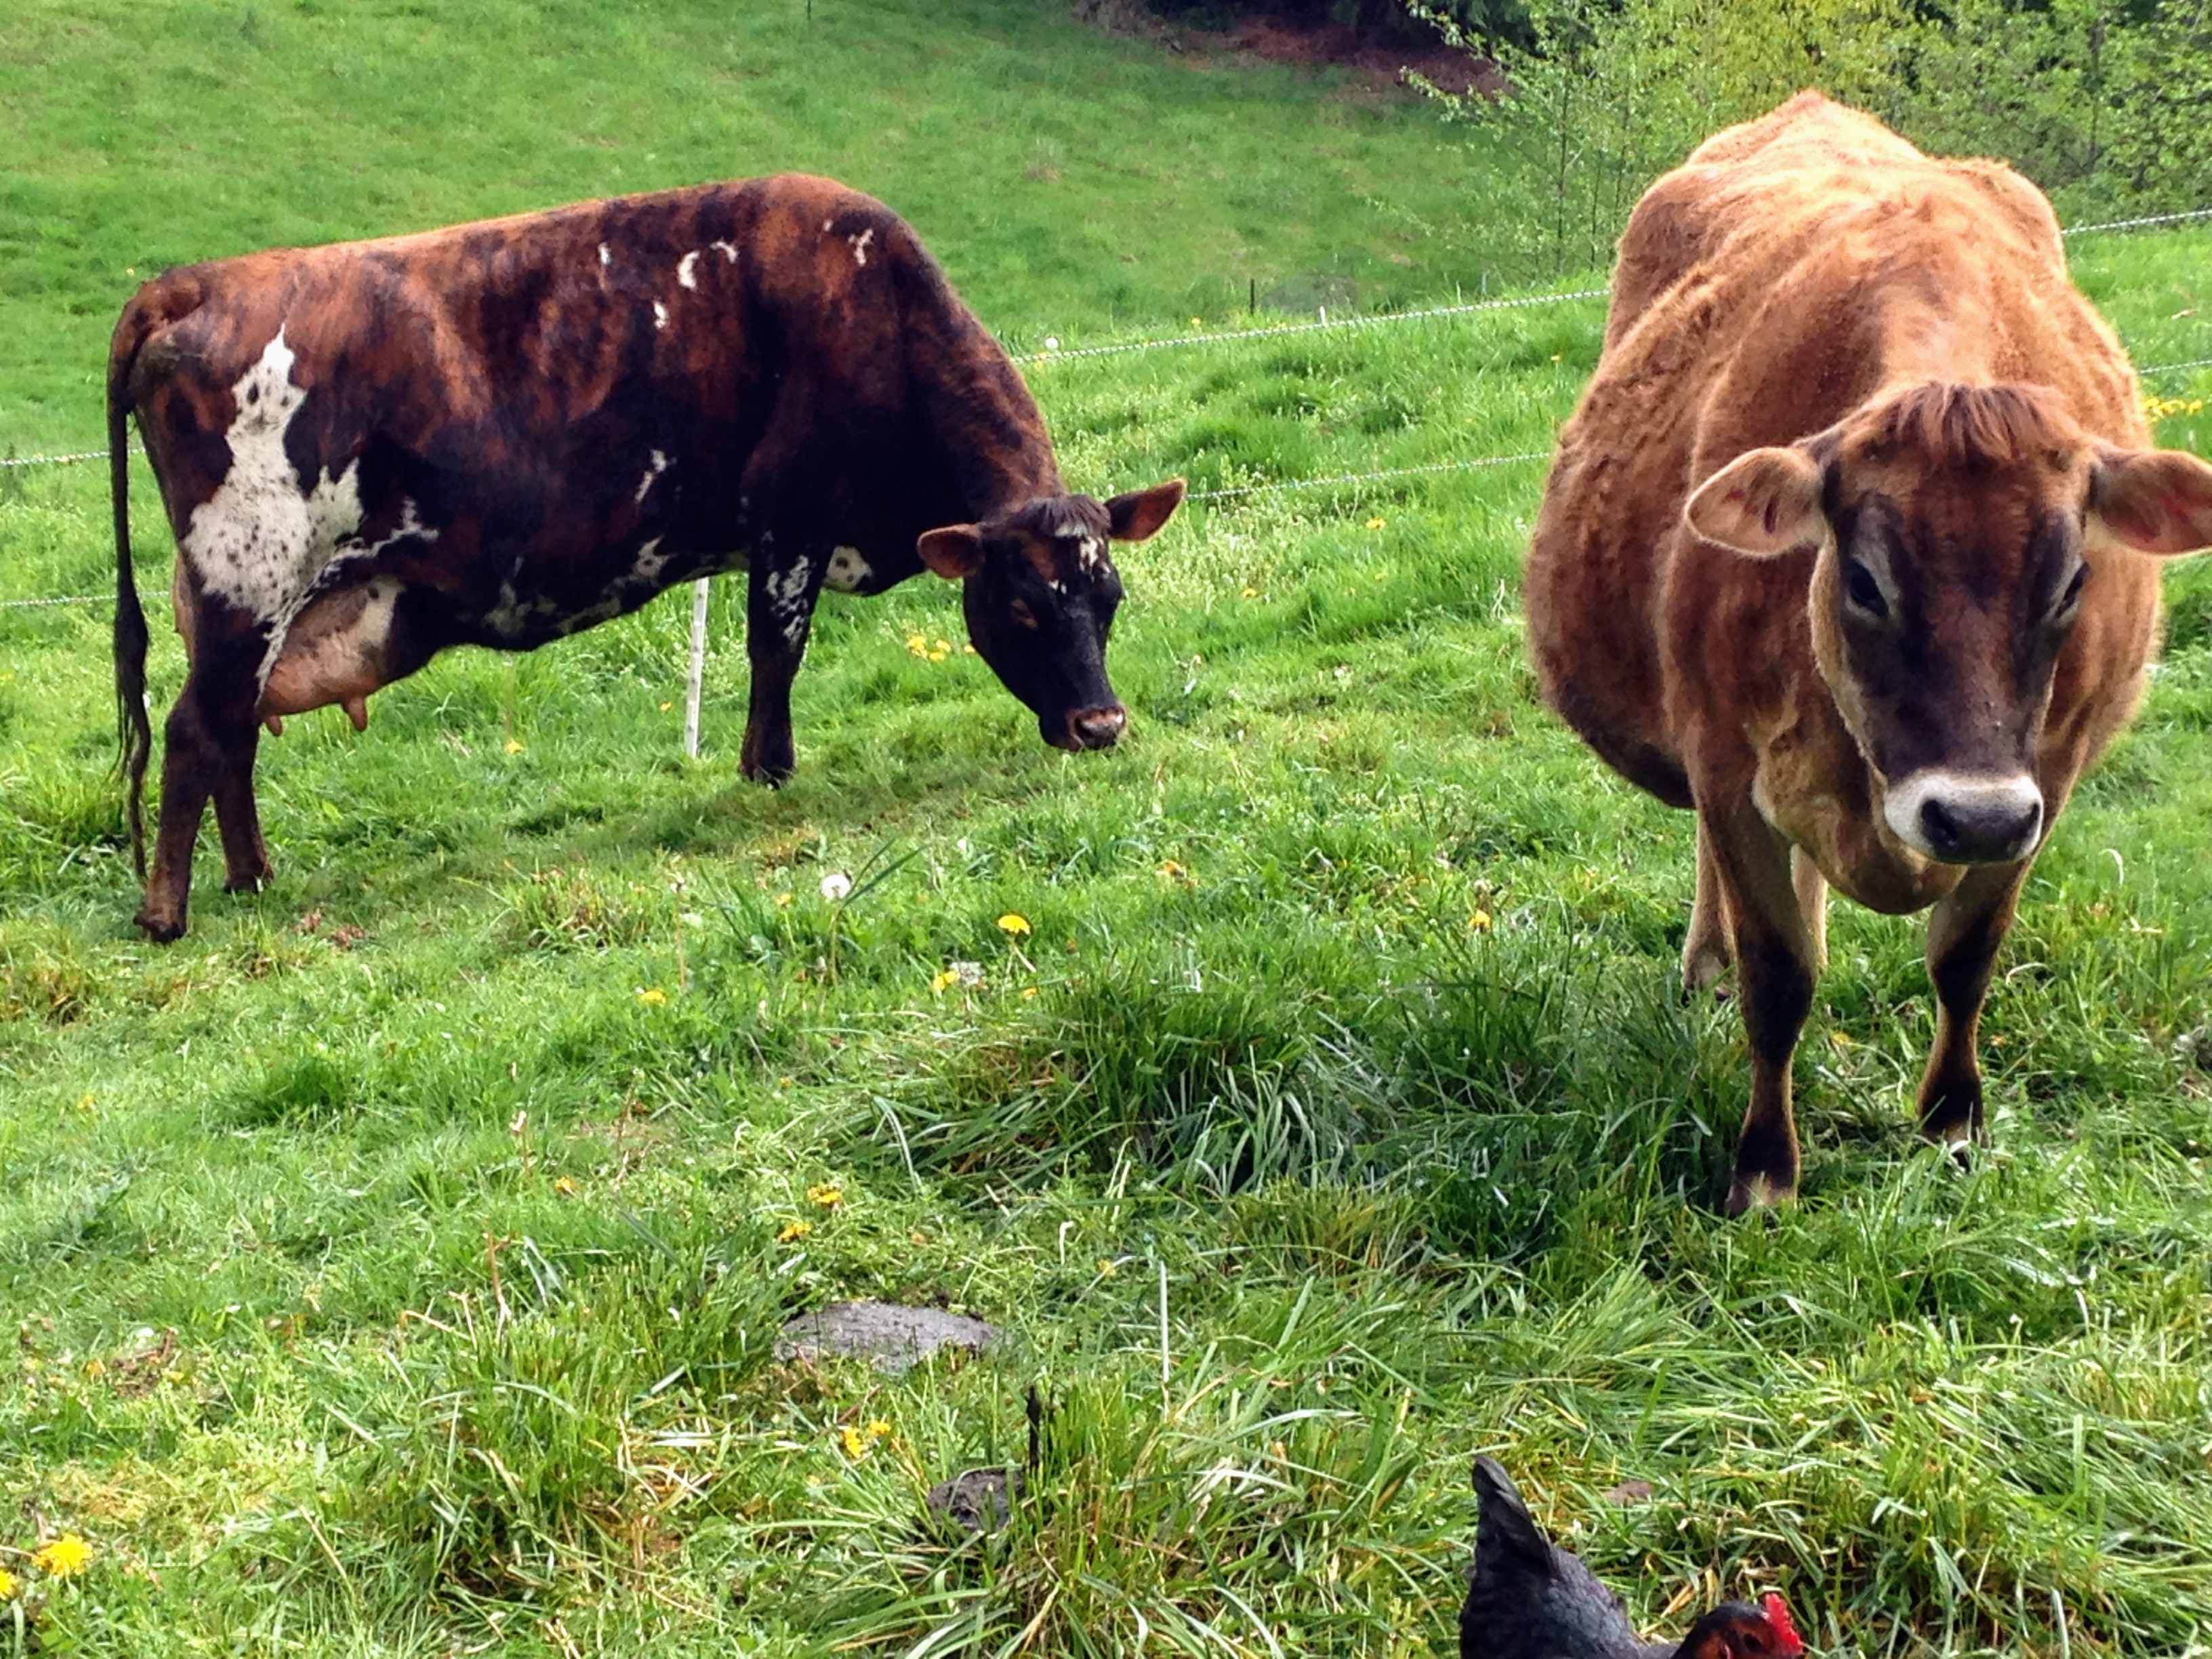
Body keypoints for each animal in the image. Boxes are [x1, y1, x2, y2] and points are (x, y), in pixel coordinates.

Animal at [108, 174, 1184, 942]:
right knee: (198, 731)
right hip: (250, 577)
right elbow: (775, 651)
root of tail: (187, 283)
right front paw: (769, 772)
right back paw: (168, 911)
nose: (1101, 724)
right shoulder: (790, 518)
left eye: (1109, 598)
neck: (877, 306)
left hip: (254, 606)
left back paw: (253, 876)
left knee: (233, 733)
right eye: (1023, 607)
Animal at [1525, 93, 2212, 1213]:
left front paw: (1953, 1126)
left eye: (2074, 581)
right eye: (1863, 580)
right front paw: (1766, 1172)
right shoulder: (1727, 761)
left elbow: (1967, 960)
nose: (1973, 816)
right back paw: (1705, 963)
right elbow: (1780, 978)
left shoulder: (2047, 779)